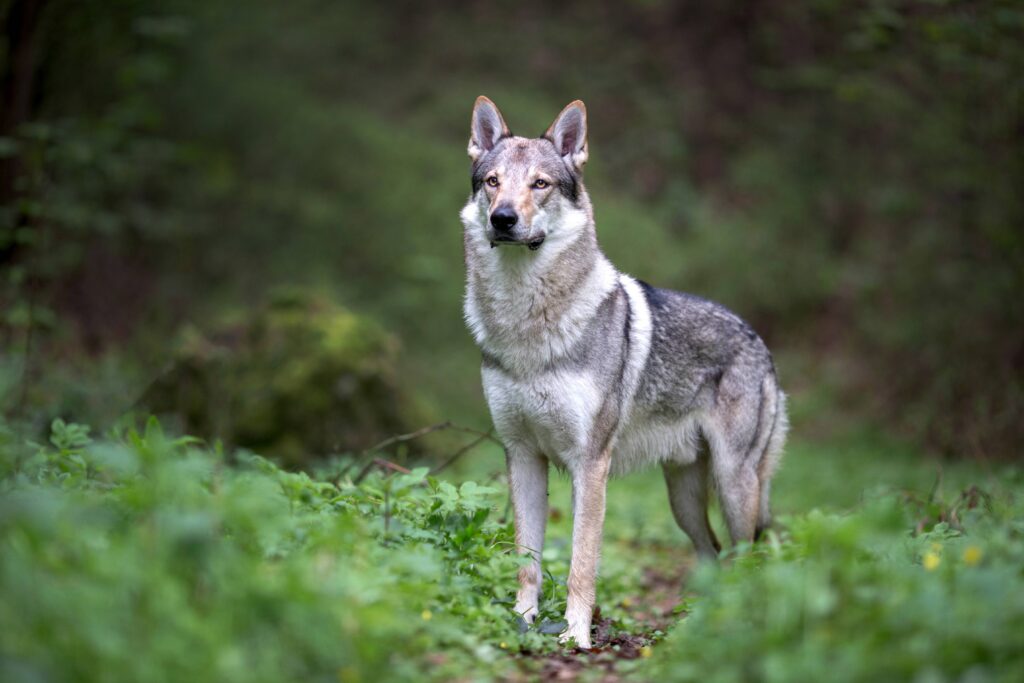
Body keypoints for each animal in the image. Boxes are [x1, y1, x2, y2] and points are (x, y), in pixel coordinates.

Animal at [460, 96, 788, 649]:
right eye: (493, 181)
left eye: (540, 184)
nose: (502, 219)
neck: (527, 328)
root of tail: (759, 341)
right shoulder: (521, 456)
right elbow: (527, 559)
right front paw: (522, 624)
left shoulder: (590, 465)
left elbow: (581, 562)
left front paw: (575, 636)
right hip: (683, 498)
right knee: (712, 552)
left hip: (734, 484)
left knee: (747, 555)